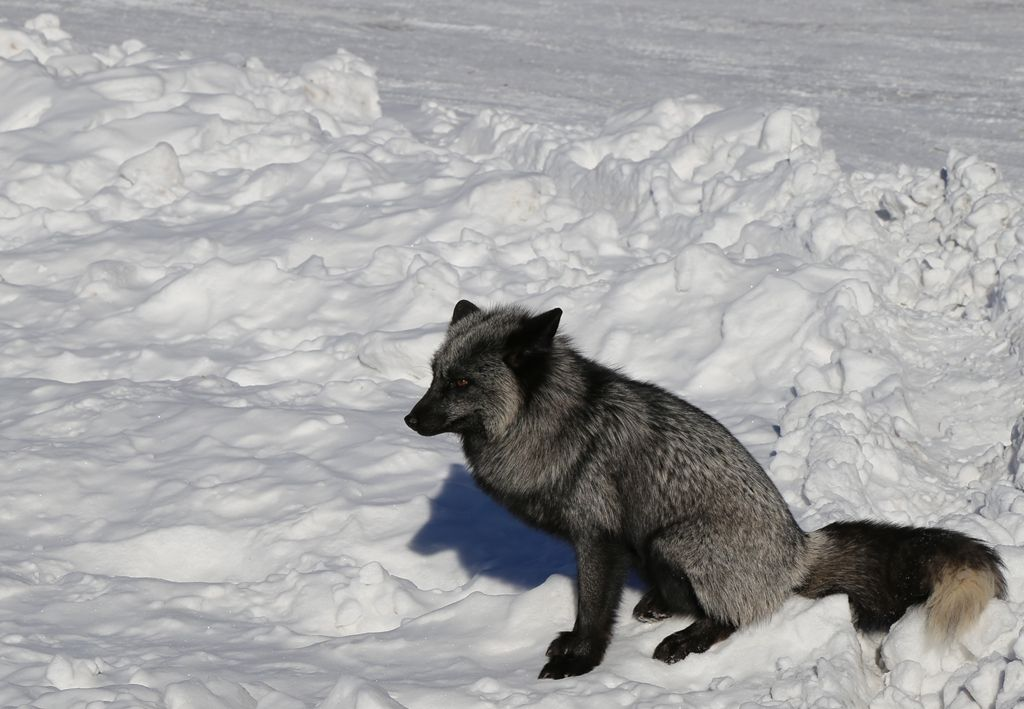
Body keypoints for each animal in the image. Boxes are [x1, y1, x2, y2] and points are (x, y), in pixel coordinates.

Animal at [403, 301, 1003, 680]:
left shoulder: (598, 537)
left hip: (673, 541)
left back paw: (685, 639)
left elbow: (593, 610)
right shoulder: (607, 541)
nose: (409, 419)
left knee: (731, 618)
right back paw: (658, 607)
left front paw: (580, 662)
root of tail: (798, 549)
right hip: (653, 546)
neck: (558, 423)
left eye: (462, 383)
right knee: (685, 600)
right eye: (434, 375)